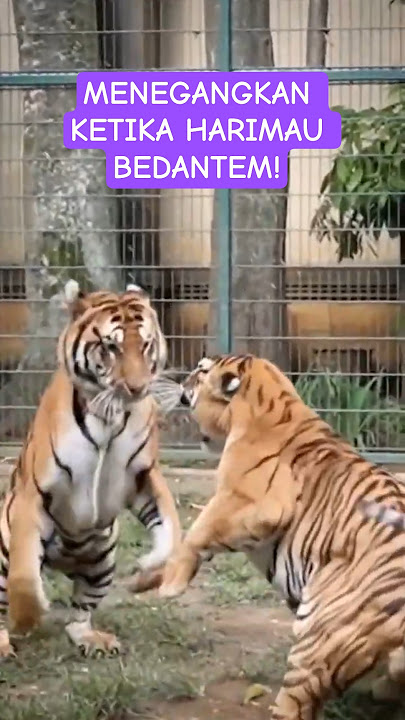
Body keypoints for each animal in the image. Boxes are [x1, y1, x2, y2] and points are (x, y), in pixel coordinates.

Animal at [0, 280, 181, 659]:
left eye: (145, 344)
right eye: (111, 346)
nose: (137, 388)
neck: (108, 418)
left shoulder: (145, 478)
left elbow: (173, 534)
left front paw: (145, 574)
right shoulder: (34, 493)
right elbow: (24, 578)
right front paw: (26, 618)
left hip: (103, 558)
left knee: (80, 612)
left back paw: (92, 638)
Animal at [146, 353, 405, 719]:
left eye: (200, 370)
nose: (182, 381)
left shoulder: (255, 502)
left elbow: (197, 531)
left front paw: (170, 585)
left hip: (318, 638)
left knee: (296, 701)